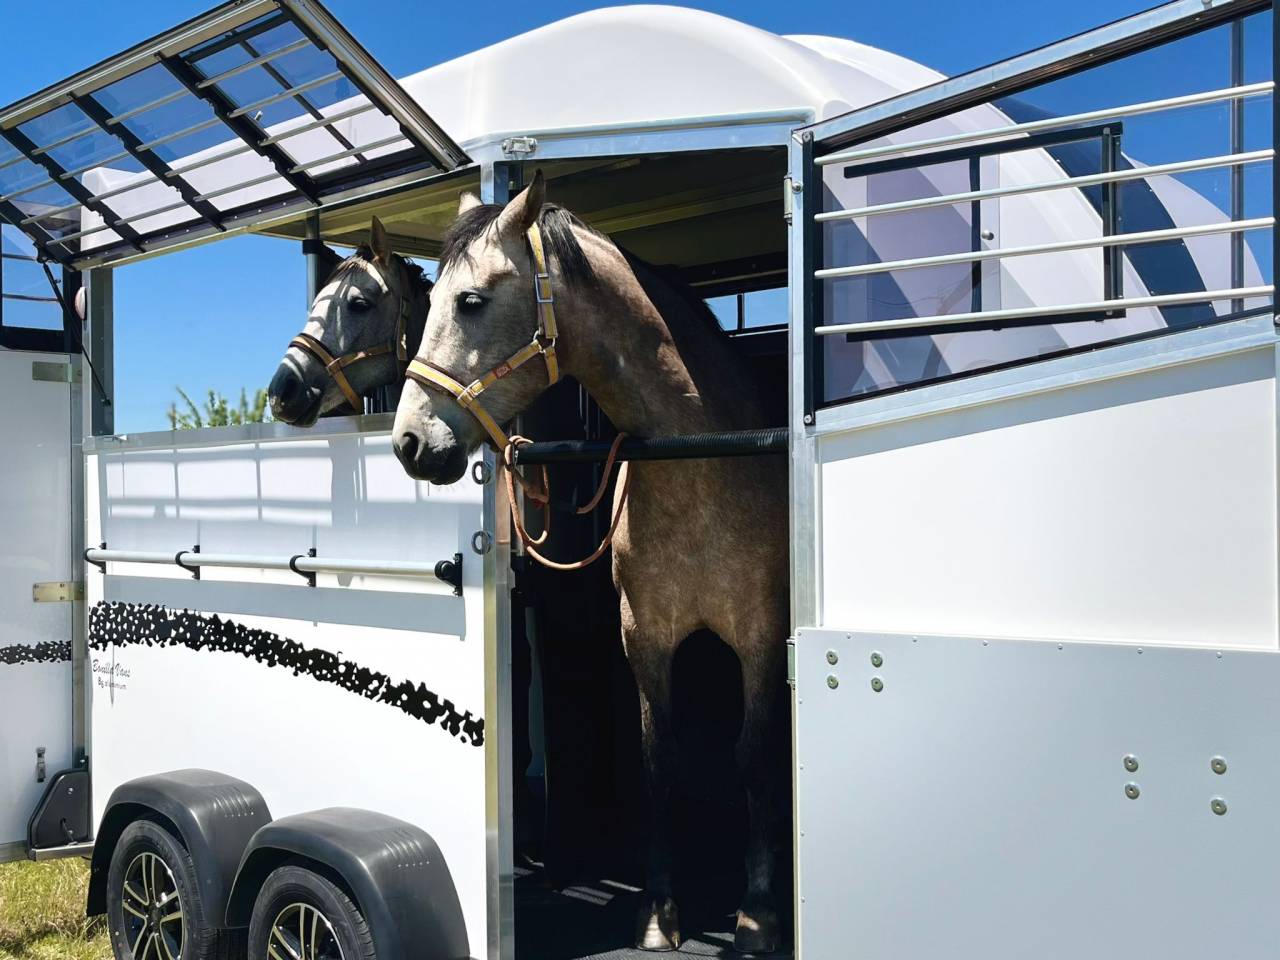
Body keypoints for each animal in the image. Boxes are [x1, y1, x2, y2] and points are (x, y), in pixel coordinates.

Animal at [391, 173, 789, 954]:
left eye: (471, 301)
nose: (409, 443)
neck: (705, 467)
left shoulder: (759, 638)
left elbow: (755, 760)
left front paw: (757, 913)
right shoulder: (645, 637)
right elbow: (659, 764)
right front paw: (660, 913)